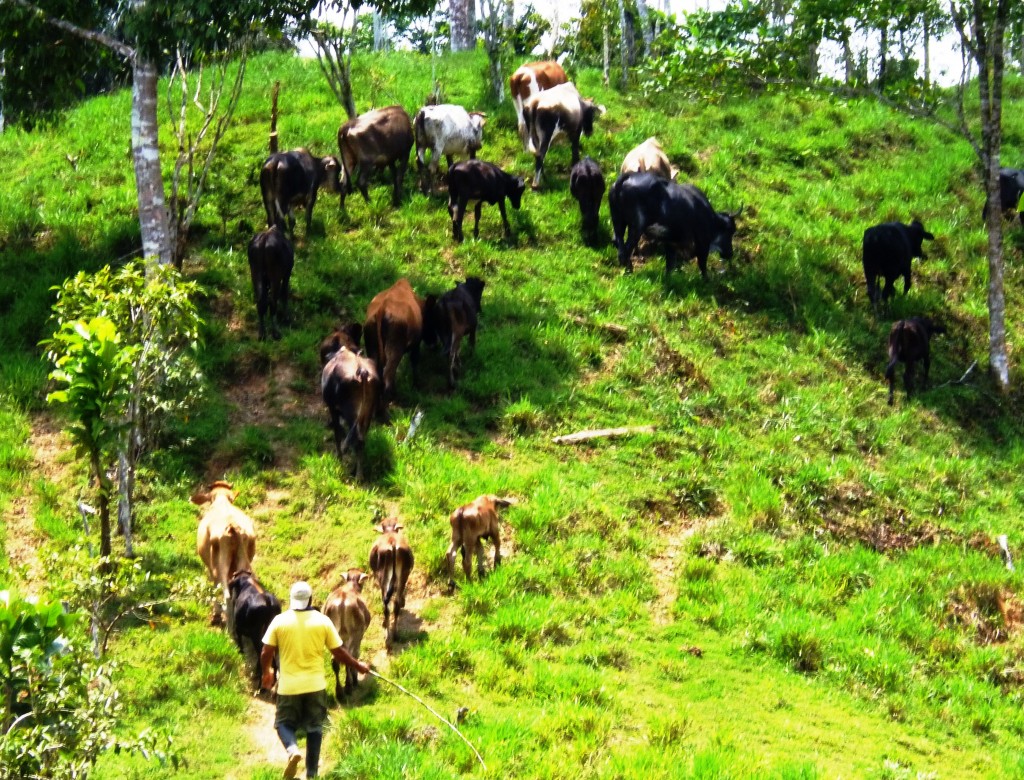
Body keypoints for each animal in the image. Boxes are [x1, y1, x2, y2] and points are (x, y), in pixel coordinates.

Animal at [321, 324, 381, 480]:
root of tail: (363, 372)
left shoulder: (333, 408)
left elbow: (337, 433)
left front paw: (339, 459)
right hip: (367, 411)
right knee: (361, 440)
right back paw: (358, 472)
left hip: (350, 412)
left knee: (354, 438)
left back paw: (356, 473)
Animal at [324, 569, 371, 700]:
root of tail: (342, 600)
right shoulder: (359, 636)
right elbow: (356, 654)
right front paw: (355, 678)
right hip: (352, 635)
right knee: (349, 656)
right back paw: (349, 686)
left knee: (335, 661)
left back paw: (339, 692)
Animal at [368, 518, 414, 651]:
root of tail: (393, 544)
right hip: (403, 574)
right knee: (396, 602)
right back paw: (395, 635)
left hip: (383, 576)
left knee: (386, 605)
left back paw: (388, 639)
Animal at [609, 172, 741, 283]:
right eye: (730, 231)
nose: (730, 253)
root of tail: (628, 176)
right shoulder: (702, 243)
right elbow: (702, 264)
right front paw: (707, 281)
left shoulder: (670, 243)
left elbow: (670, 265)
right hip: (637, 227)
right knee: (626, 250)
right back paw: (629, 272)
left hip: (618, 222)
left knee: (617, 242)